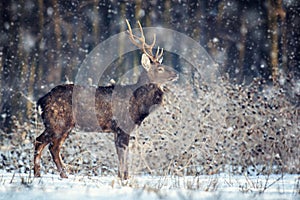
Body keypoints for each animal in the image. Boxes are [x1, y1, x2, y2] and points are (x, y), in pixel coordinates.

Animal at [32, 20, 178, 180]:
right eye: (160, 69)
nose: (176, 73)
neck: (137, 103)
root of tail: (41, 100)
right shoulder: (123, 125)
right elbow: (123, 154)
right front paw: (125, 177)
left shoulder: (117, 130)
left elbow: (120, 153)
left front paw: (121, 176)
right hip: (58, 122)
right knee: (45, 144)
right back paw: (51, 174)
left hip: (61, 125)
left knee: (47, 145)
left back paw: (47, 174)